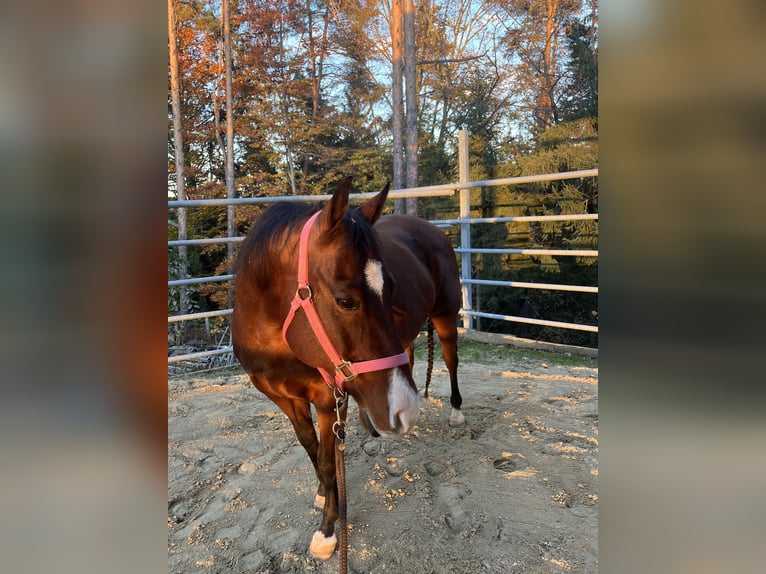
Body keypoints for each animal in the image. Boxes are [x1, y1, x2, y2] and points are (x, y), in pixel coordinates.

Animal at [231, 177, 464, 564]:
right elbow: (312, 450)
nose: (405, 412)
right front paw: (326, 496)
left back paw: (455, 413)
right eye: (345, 300)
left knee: (451, 359)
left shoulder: (329, 399)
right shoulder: (286, 399)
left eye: (392, 289)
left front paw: (328, 532)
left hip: (446, 315)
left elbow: (328, 461)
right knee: (409, 357)